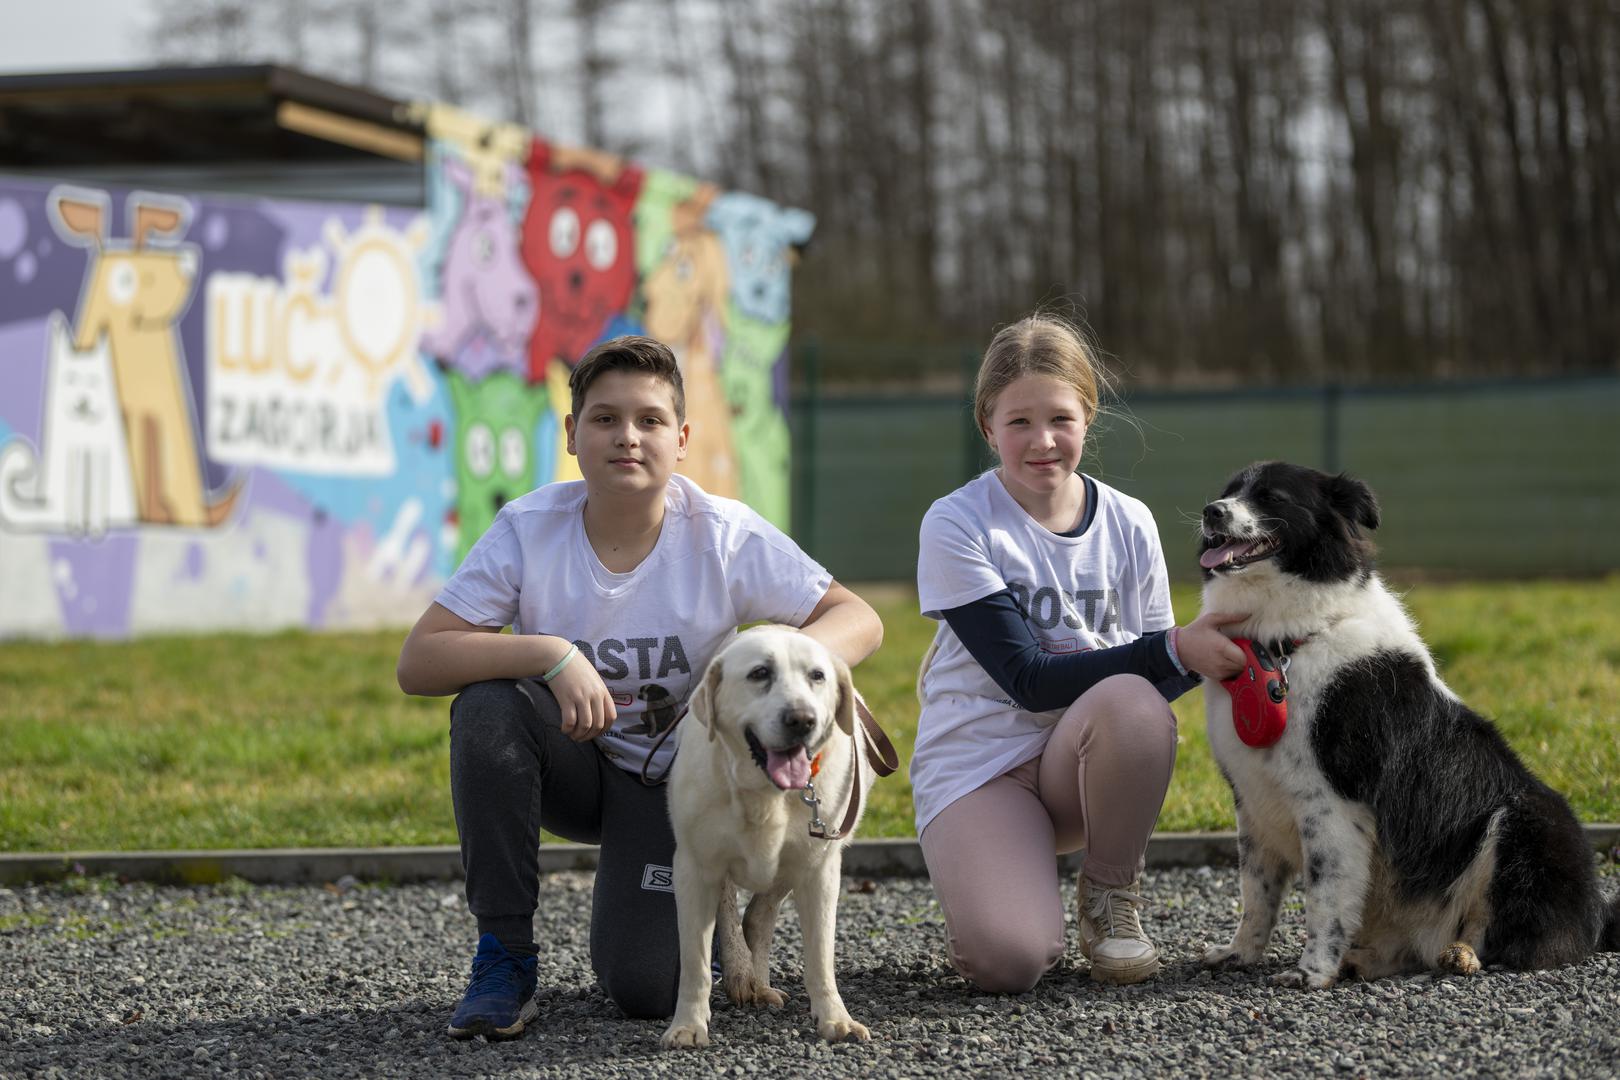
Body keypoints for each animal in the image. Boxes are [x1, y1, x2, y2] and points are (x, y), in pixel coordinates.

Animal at [0, 307, 137, 537]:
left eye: (93, 382)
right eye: (70, 380)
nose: (83, 402)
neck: (82, 430)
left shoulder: (99, 453)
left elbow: (96, 497)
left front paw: (96, 529)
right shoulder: (73, 454)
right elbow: (76, 497)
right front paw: (77, 529)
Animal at [660, 625, 874, 1049]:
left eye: (817, 676)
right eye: (759, 673)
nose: (802, 719)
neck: (764, 794)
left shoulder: (820, 870)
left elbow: (820, 957)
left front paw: (835, 1018)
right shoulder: (694, 868)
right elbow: (695, 963)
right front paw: (687, 1025)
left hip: (794, 866)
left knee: (759, 915)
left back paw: (756, 981)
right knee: (732, 911)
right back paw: (744, 976)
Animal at [1198, 459, 1613, 984]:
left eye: (1272, 497)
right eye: (1229, 491)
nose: (1211, 512)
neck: (1289, 644)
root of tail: (1600, 916)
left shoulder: (1332, 804)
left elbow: (1325, 898)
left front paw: (1311, 972)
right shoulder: (1252, 801)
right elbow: (1257, 896)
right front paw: (1240, 954)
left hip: (1524, 820)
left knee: (1511, 937)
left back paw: (1461, 955)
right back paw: (1365, 960)